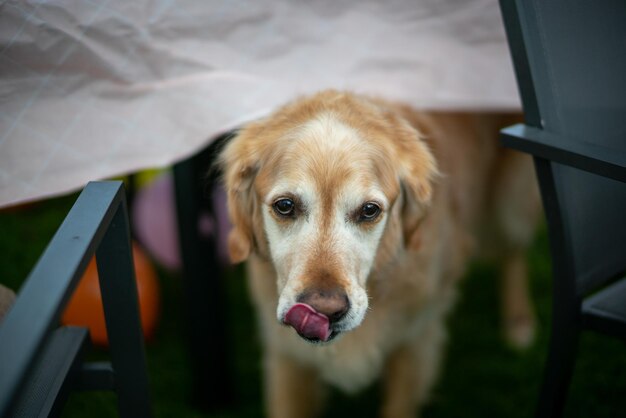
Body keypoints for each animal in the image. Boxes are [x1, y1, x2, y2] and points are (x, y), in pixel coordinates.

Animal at [217, 91, 540, 418]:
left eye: (369, 210)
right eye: (285, 205)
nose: (324, 310)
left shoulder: (416, 342)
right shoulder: (288, 359)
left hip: (510, 202)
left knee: (513, 250)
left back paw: (519, 320)